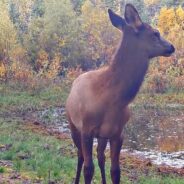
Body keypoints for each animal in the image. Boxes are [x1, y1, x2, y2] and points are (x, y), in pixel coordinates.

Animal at [65, 3, 175, 184]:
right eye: (155, 33)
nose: (172, 47)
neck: (112, 98)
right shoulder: (86, 129)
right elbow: (88, 169)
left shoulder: (118, 133)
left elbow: (116, 171)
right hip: (73, 124)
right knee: (80, 156)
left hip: (102, 135)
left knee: (100, 156)